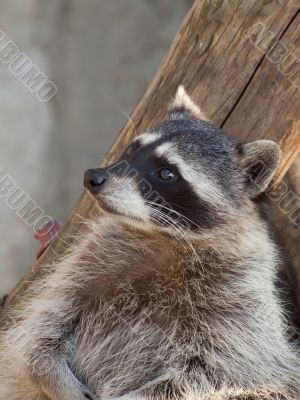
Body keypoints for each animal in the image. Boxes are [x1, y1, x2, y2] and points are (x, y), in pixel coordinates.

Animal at [0, 87, 300, 400]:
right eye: (132, 149)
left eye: (167, 173)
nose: (93, 177)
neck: (167, 237)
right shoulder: (90, 258)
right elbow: (41, 326)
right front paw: (46, 369)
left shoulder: (244, 296)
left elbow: (224, 369)